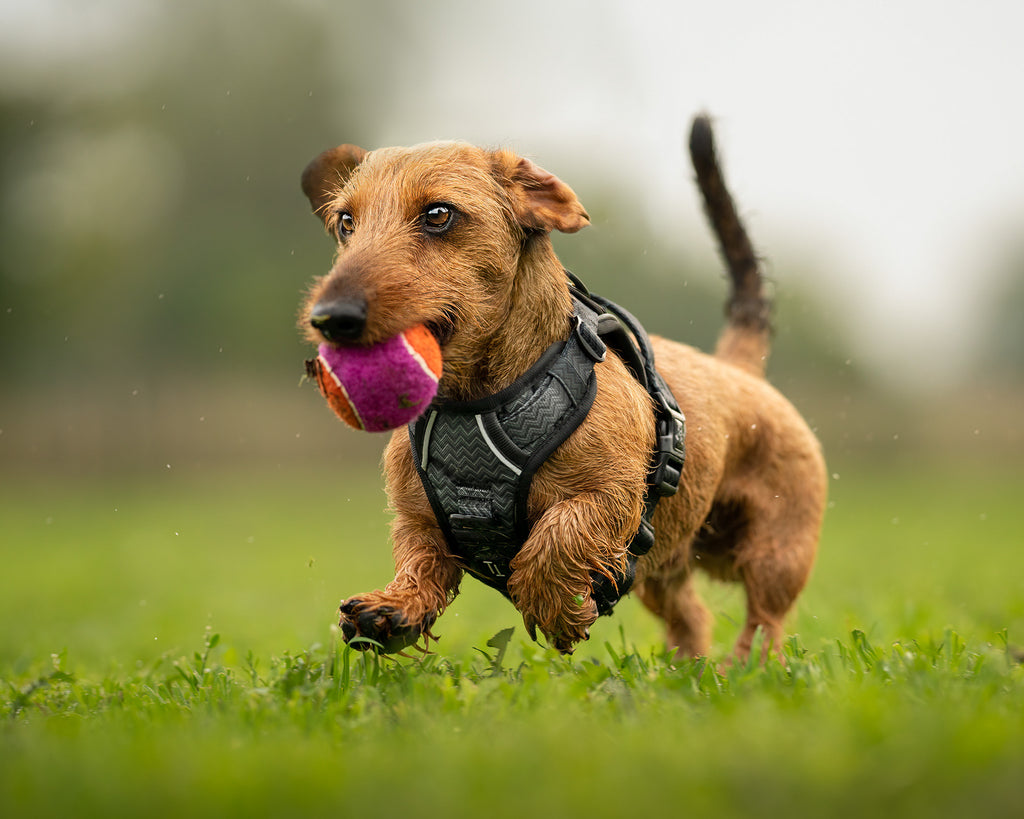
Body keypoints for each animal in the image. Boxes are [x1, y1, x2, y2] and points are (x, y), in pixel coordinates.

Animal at [299, 115, 827, 659]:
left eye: (438, 214)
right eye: (345, 222)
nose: (330, 317)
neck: (478, 404)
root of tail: (738, 369)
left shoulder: (611, 495)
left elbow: (557, 534)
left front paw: (554, 605)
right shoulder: (420, 519)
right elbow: (419, 559)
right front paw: (392, 609)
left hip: (774, 553)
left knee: (765, 620)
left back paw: (746, 666)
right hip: (667, 565)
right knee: (692, 616)